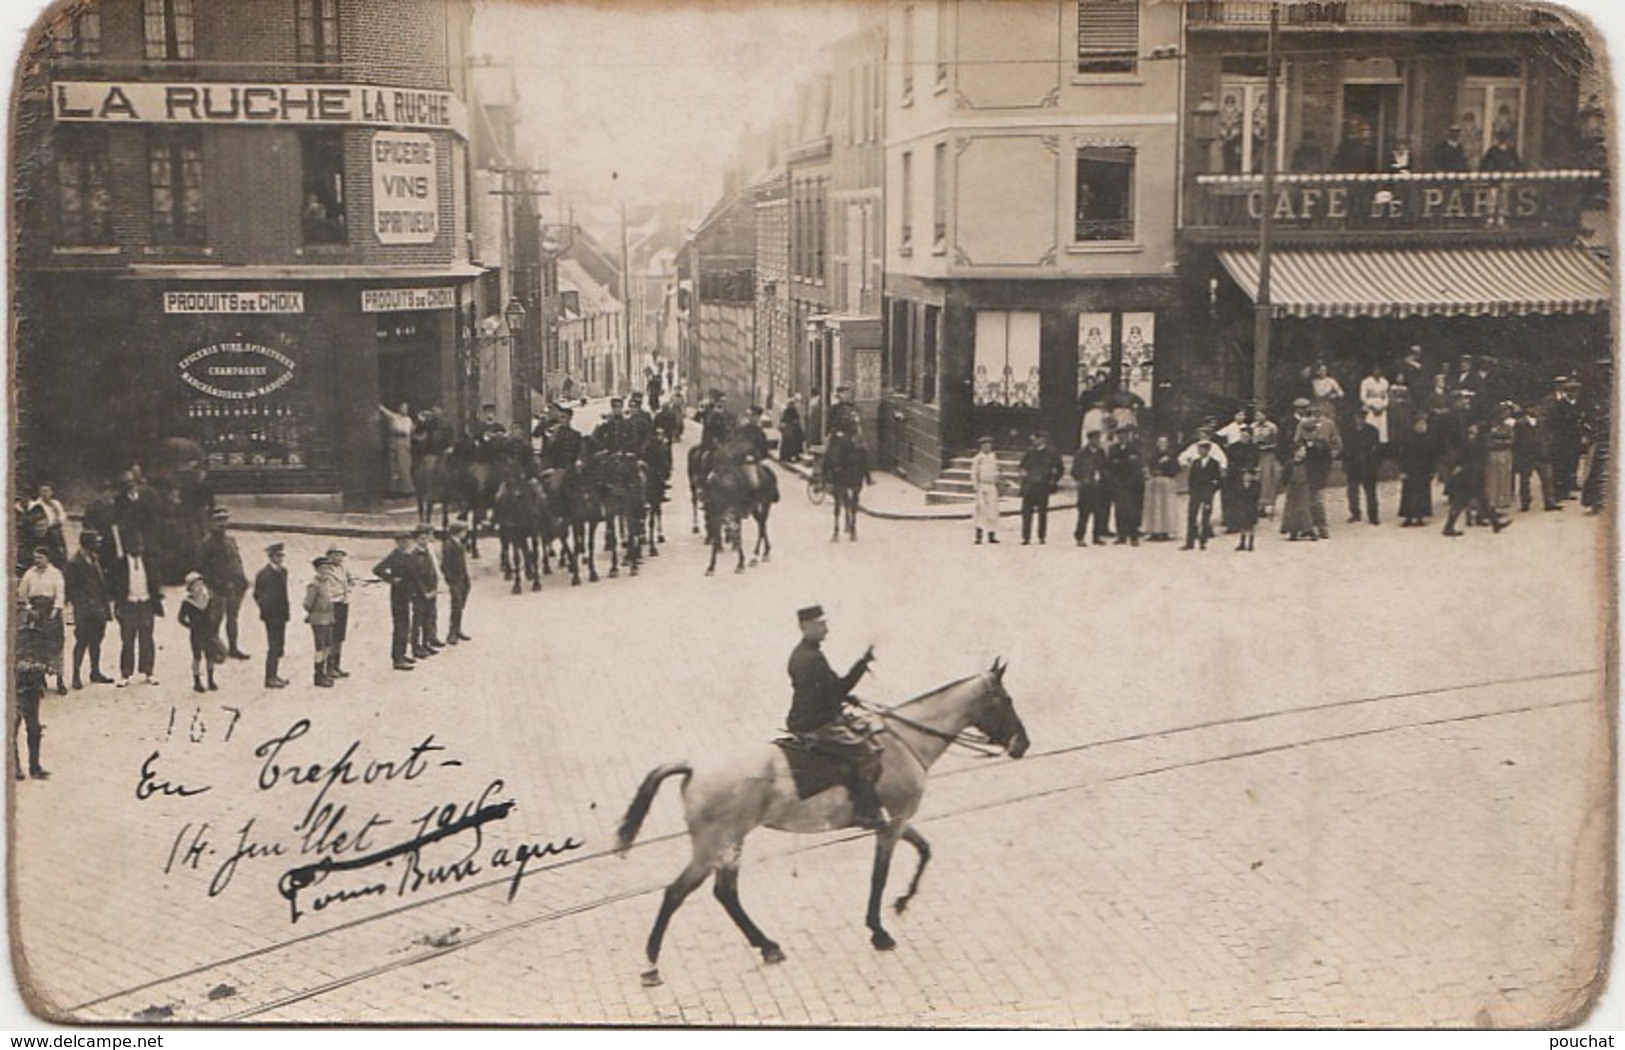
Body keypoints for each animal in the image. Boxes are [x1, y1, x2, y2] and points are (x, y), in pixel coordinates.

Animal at [614, 663, 1033, 994]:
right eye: (1005, 700)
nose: (1023, 745)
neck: (904, 741)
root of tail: (694, 767)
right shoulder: (892, 824)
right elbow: (879, 876)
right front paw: (879, 931)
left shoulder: (896, 821)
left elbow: (925, 850)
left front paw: (903, 901)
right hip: (714, 845)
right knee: (677, 893)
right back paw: (652, 965)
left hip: (729, 844)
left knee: (725, 893)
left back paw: (767, 946)